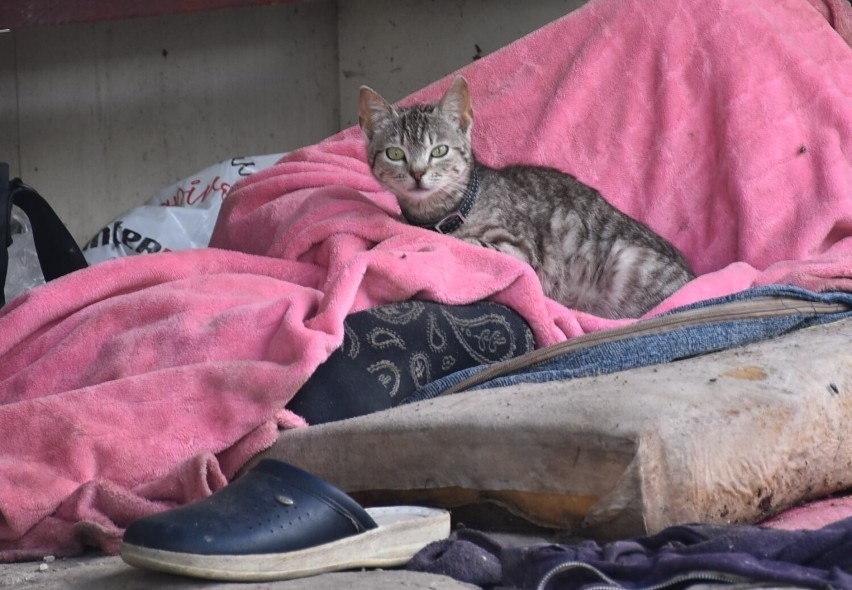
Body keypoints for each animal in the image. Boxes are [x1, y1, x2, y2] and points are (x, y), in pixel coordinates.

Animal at [356, 78, 696, 322]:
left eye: (439, 150)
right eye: (395, 153)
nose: (417, 173)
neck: (442, 213)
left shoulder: (519, 250)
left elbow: (465, 244)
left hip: (626, 261)